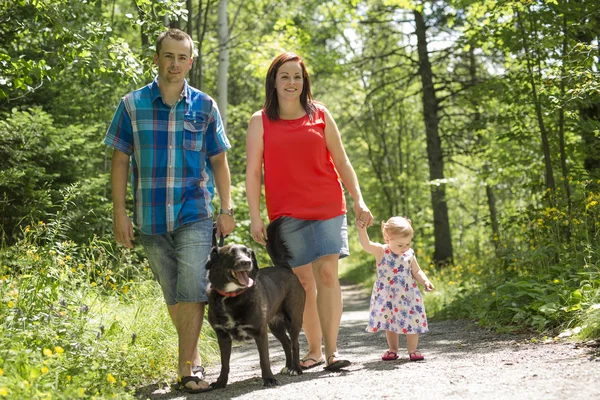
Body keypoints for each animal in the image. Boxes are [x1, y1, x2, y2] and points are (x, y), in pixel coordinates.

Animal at [206, 220, 308, 390]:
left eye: (248, 253)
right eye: (231, 253)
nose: (247, 262)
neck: (232, 295)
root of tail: (284, 268)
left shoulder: (260, 331)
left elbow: (264, 359)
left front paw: (269, 379)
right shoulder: (222, 336)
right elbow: (224, 363)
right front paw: (221, 382)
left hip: (294, 319)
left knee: (295, 344)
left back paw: (295, 368)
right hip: (275, 326)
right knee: (287, 343)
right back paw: (288, 367)